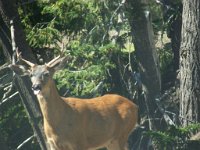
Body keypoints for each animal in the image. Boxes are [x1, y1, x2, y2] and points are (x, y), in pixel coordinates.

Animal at [10, 54, 138, 150]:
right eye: (31, 75)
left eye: (46, 74)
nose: (36, 87)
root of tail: (135, 106)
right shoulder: (52, 144)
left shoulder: (79, 141)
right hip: (110, 141)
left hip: (122, 133)